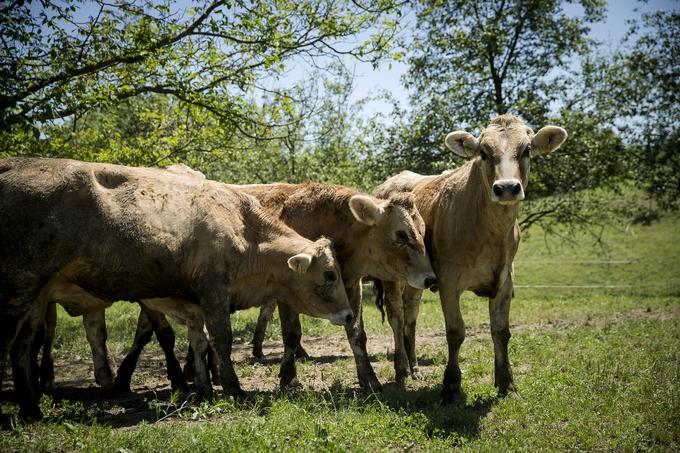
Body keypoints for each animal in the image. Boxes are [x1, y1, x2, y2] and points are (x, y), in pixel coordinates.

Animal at [0, 157, 350, 418]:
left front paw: (205, 388)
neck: (244, 227)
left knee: (23, 347)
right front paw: (232, 388)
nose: (349, 315)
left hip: (37, 296)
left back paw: (32, 408)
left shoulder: (194, 302)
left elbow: (199, 341)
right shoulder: (213, 292)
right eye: (330, 274)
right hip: (20, 286)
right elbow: (220, 340)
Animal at [374, 114, 564, 402]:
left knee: (411, 314)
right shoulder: (449, 280)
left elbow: (501, 332)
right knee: (396, 315)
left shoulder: (506, 279)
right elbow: (455, 332)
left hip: (415, 277)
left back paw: (414, 367)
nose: (506, 188)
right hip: (390, 275)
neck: (491, 232)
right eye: (484, 153)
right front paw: (451, 386)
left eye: (527, 150)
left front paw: (506, 383)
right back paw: (402, 370)